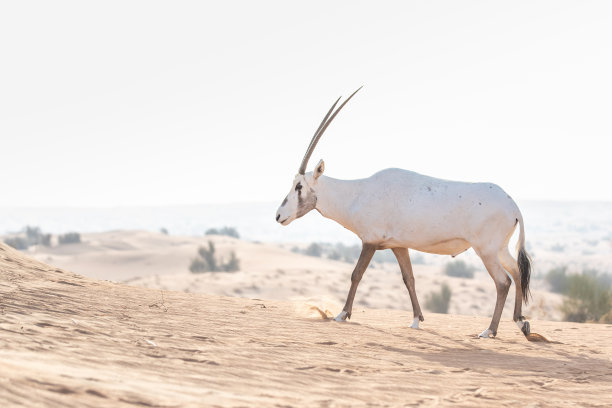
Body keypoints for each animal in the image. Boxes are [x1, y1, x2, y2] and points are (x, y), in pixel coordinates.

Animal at [274, 88, 532, 338]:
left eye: (299, 186)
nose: (278, 216)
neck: (357, 193)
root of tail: (513, 205)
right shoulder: (399, 246)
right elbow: (409, 279)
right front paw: (417, 320)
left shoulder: (369, 241)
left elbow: (356, 274)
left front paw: (342, 314)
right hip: (499, 250)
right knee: (517, 272)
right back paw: (521, 323)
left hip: (486, 251)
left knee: (503, 282)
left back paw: (490, 330)